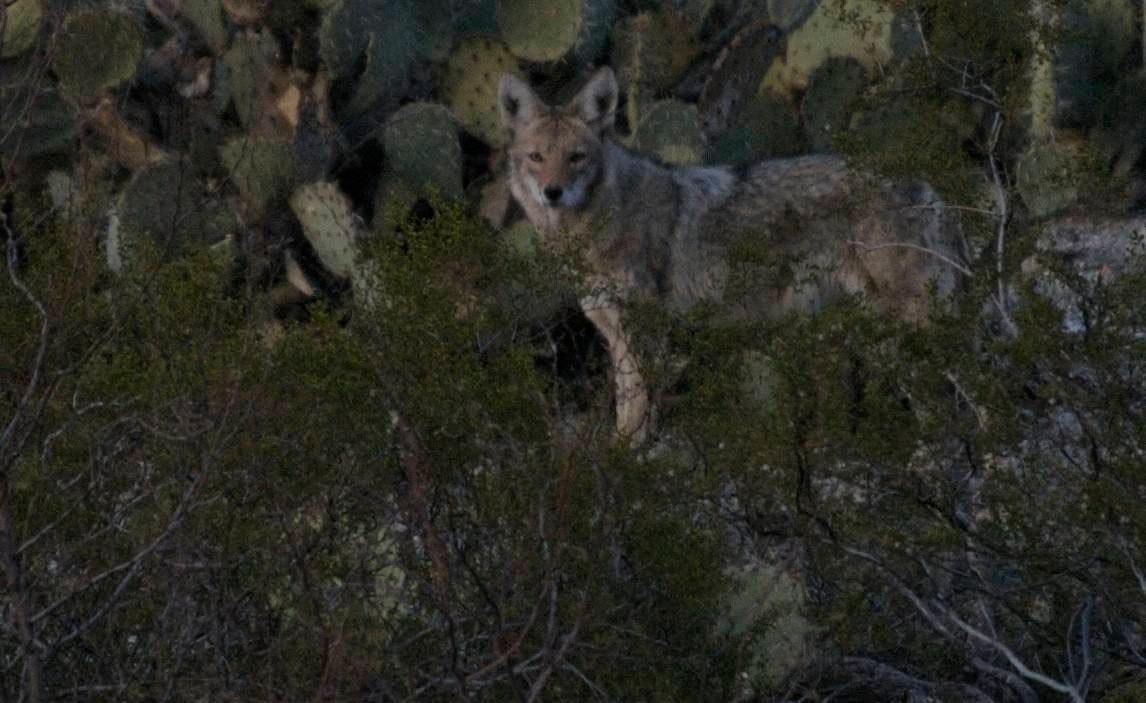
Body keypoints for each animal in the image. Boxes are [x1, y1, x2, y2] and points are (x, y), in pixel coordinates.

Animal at [497, 67, 964, 443]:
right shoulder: (617, 334)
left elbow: (639, 414)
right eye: (536, 157)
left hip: (904, 330)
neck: (602, 221)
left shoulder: (643, 334)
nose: (552, 192)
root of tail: (927, 187)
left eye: (575, 157)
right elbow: (626, 412)